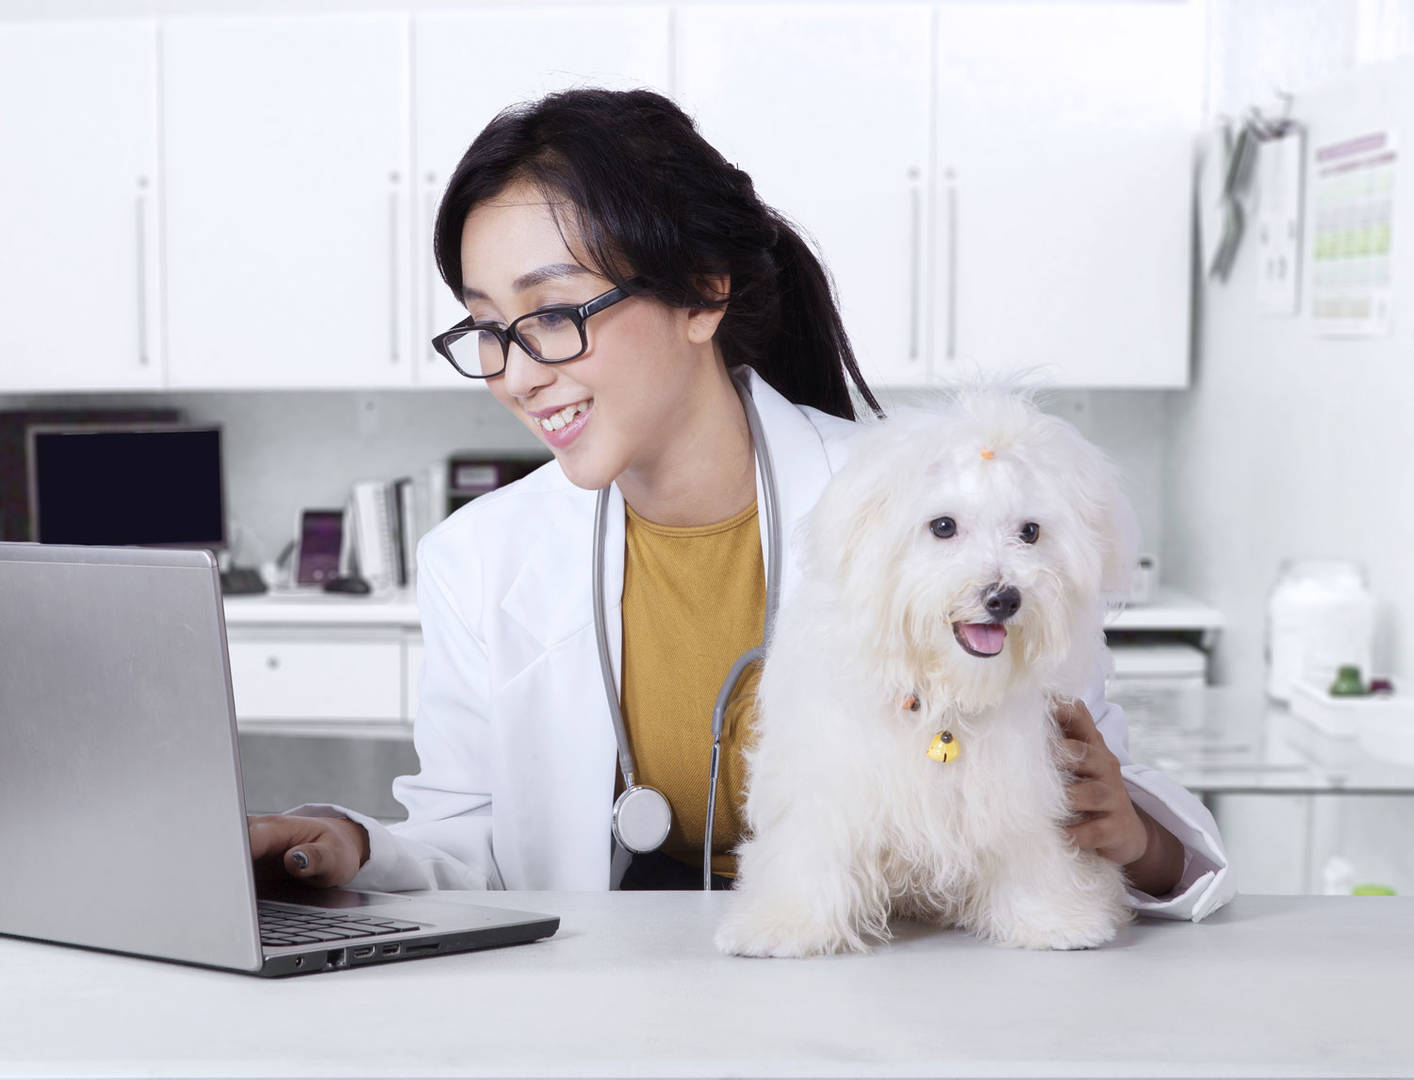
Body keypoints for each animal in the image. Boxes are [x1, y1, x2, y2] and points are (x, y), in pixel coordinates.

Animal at [718, 387, 1136, 955]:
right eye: (943, 527)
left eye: (1030, 532)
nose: (1004, 598)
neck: (942, 696)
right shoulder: (832, 775)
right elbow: (815, 847)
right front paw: (786, 924)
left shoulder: (1018, 784)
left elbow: (1028, 847)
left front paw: (1053, 918)